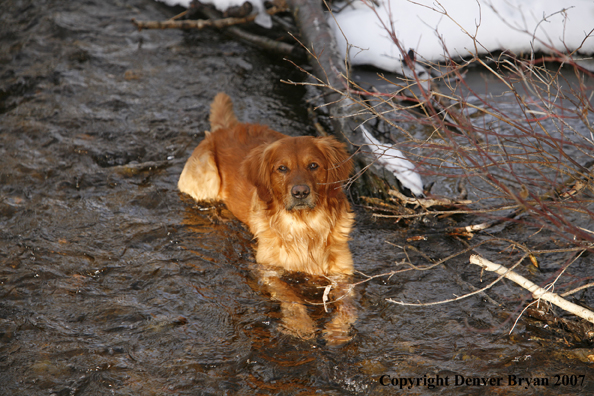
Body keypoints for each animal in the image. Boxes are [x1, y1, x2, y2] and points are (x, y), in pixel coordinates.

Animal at [178, 93, 354, 344]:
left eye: (313, 165)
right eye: (282, 168)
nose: (300, 192)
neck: (305, 227)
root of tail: (225, 128)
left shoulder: (343, 272)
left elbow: (348, 306)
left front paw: (338, 330)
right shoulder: (268, 269)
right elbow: (291, 297)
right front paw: (300, 325)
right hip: (206, 177)